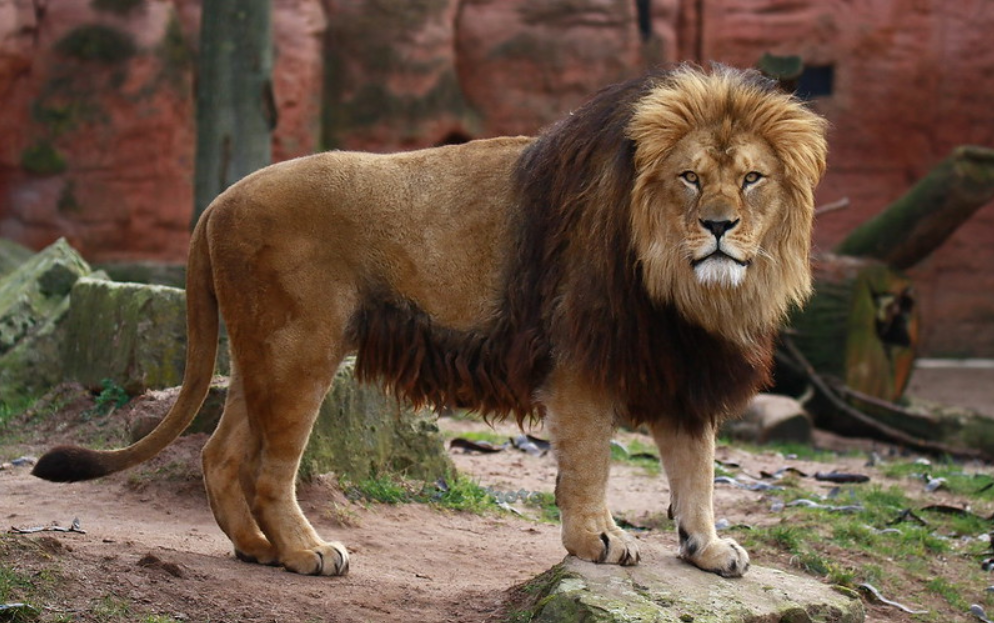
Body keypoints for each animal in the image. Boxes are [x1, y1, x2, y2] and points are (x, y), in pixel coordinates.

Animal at [33, 65, 827, 579]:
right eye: (690, 177)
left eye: (752, 178)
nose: (719, 227)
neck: (687, 289)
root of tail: (219, 200)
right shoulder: (581, 357)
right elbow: (592, 462)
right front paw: (596, 539)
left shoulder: (682, 363)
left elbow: (698, 471)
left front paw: (708, 547)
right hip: (299, 351)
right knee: (269, 471)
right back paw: (306, 552)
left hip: (262, 352)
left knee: (221, 455)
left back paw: (258, 550)